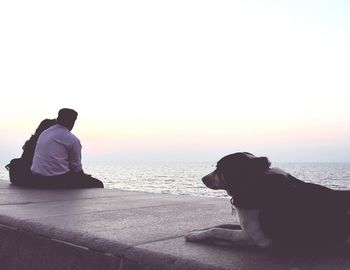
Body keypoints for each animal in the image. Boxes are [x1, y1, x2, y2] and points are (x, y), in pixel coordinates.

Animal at [186, 152, 350, 249]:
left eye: (220, 168)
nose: (202, 178)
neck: (254, 182)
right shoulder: (245, 226)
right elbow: (221, 225)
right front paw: (196, 232)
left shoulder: (257, 238)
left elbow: (220, 231)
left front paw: (198, 236)